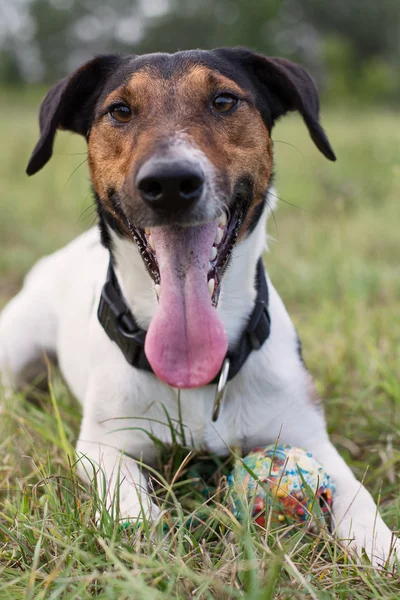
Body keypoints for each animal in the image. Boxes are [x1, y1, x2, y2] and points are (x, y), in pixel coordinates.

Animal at [0, 48, 396, 568]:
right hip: (16, 348)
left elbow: (356, 491)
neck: (198, 375)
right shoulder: (104, 445)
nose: (169, 182)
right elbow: (127, 497)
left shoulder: (307, 433)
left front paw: (381, 544)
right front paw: (147, 543)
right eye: (120, 111)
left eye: (224, 100)